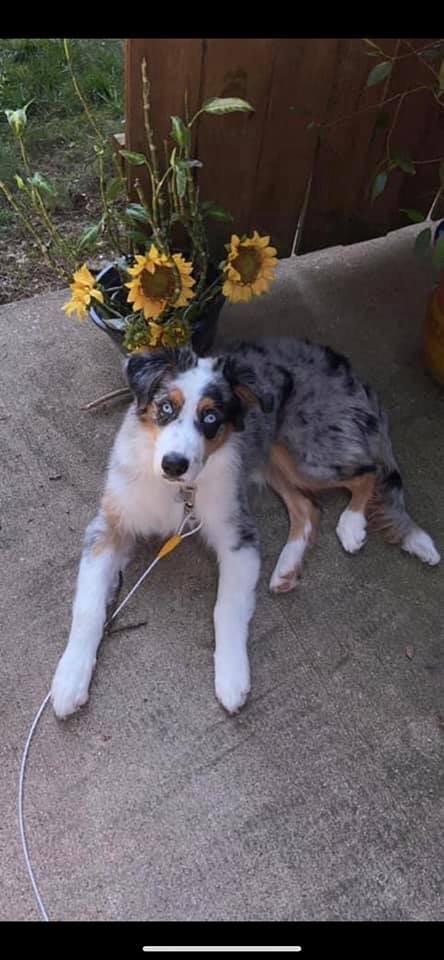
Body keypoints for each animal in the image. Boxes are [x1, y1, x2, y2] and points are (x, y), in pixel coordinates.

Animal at [51, 334, 440, 716]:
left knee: (366, 473)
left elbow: (227, 607)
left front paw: (232, 678)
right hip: (272, 456)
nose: (174, 464)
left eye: (211, 417)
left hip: (309, 454)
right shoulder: (108, 526)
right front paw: (69, 678)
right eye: (166, 408)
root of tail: (350, 371)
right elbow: (87, 607)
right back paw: (286, 568)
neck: (178, 491)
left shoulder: (238, 536)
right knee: (309, 507)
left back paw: (352, 526)